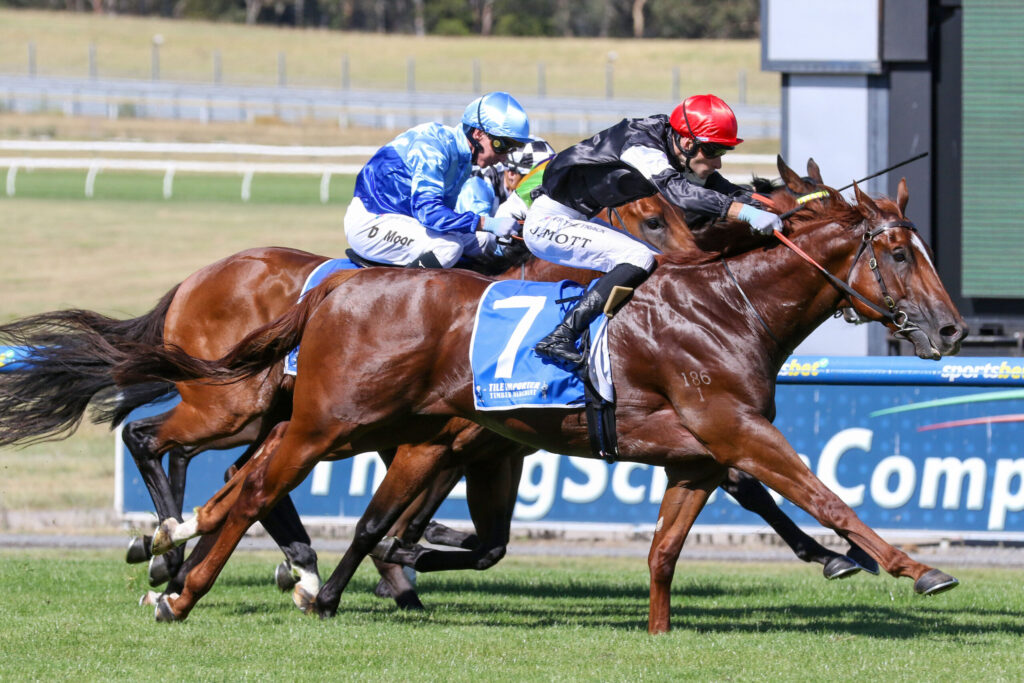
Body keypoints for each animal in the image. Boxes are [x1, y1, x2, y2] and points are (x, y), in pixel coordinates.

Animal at [124, 161, 966, 632]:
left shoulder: (690, 454)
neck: (727, 305)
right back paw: (183, 580)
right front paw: (909, 564)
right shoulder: (734, 427)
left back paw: (198, 555)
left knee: (243, 483)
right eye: (899, 252)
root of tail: (335, 289)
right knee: (234, 476)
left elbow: (665, 548)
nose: (953, 329)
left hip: (370, 425)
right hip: (319, 419)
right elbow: (822, 494)